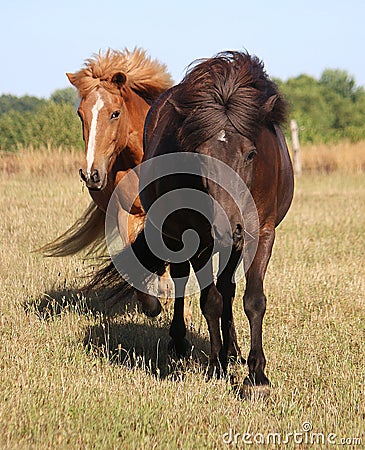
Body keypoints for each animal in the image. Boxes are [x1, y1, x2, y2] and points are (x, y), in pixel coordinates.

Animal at [90, 51, 292, 394]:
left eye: (251, 154)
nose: (227, 227)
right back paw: (182, 342)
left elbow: (253, 299)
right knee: (184, 281)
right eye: (199, 156)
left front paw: (256, 377)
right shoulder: (198, 236)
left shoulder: (261, 233)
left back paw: (232, 348)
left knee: (228, 286)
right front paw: (216, 367)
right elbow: (209, 301)